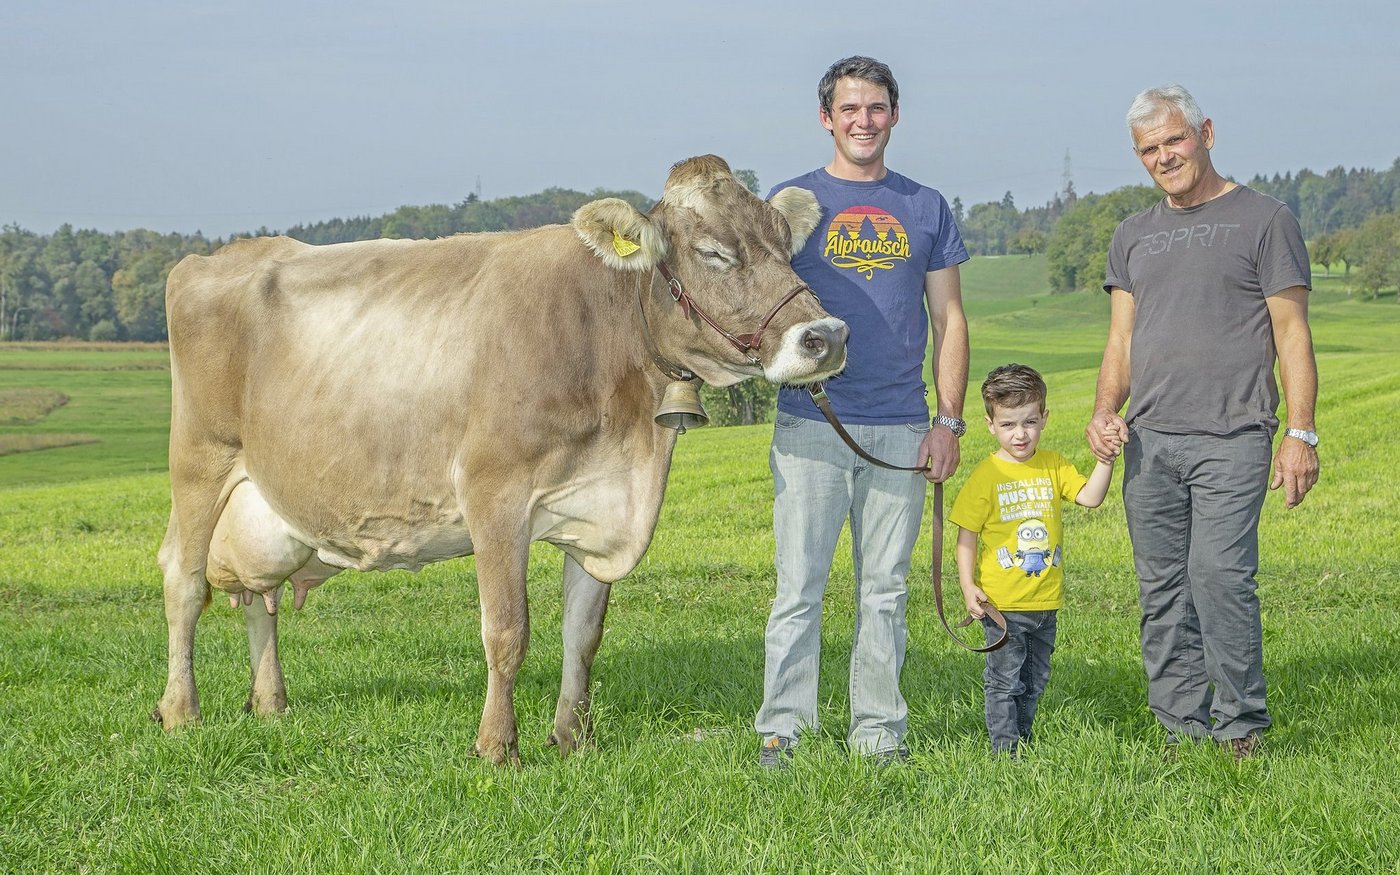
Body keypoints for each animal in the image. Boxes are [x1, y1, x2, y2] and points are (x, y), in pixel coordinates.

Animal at [154, 155, 848, 765]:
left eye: (786, 245)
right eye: (714, 253)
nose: (828, 336)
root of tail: (219, 256)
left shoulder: (600, 504)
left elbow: (583, 634)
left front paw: (572, 738)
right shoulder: (493, 493)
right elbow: (507, 631)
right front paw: (496, 747)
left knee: (258, 596)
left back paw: (270, 702)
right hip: (199, 461)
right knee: (185, 582)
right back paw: (180, 710)